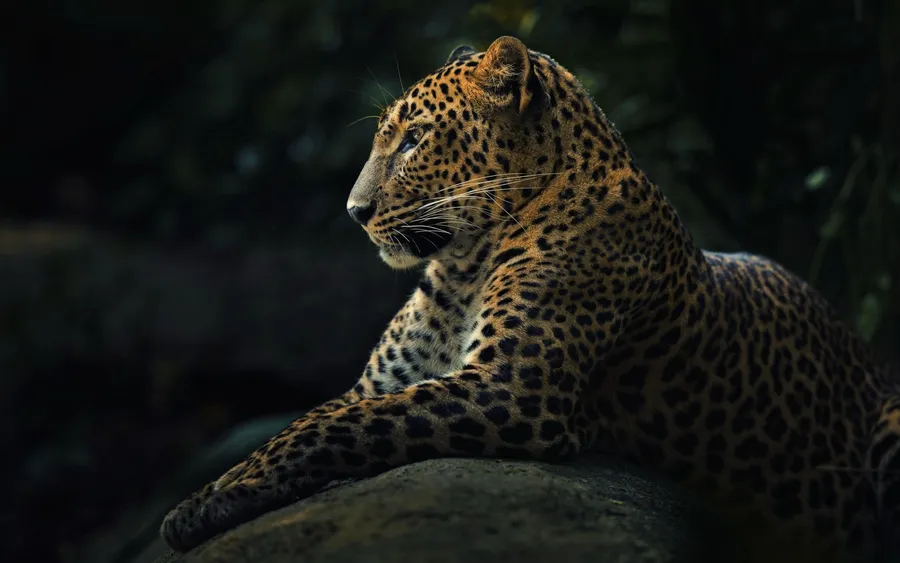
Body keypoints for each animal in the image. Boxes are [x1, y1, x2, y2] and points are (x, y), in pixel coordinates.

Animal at [159, 36, 900, 561]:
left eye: (414, 139)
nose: (354, 212)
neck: (460, 269)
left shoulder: (511, 390)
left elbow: (327, 424)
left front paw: (207, 505)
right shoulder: (381, 381)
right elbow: (309, 420)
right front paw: (207, 495)